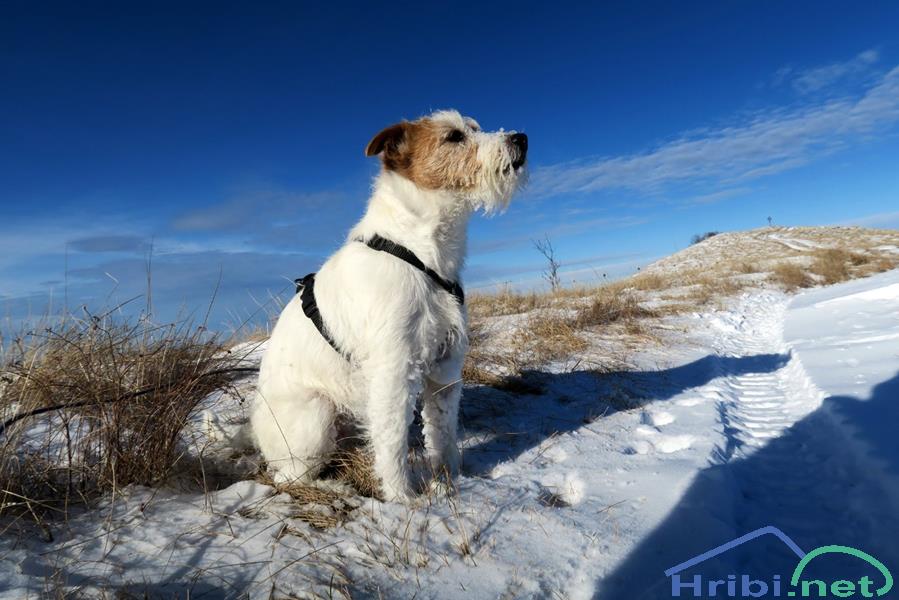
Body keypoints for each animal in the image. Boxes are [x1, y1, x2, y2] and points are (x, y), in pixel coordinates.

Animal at [250, 110, 527, 501]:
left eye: (474, 128)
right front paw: (402, 500)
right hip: (316, 417)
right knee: (289, 477)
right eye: (454, 137)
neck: (419, 253)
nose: (521, 139)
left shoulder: (445, 369)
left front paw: (449, 482)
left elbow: (442, 435)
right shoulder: (393, 371)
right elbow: (393, 442)